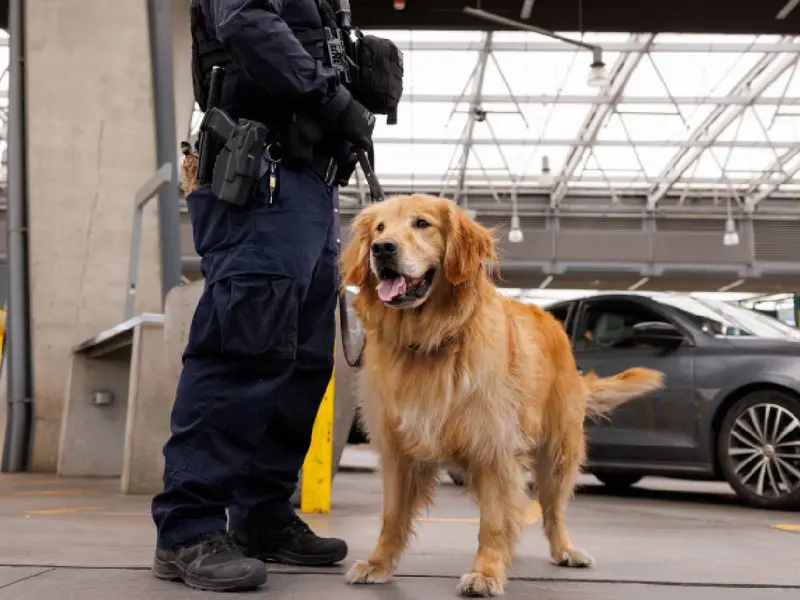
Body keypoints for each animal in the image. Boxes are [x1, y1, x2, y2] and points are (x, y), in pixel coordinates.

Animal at [340, 195, 664, 596]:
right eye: (380, 228)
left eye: (421, 223)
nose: (381, 249)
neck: (432, 338)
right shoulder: (399, 450)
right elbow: (392, 518)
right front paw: (378, 564)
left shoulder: (494, 449)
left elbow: (495, 521)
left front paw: (486, 572)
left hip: (557, 452)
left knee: (553, 510)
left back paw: (565, 550)